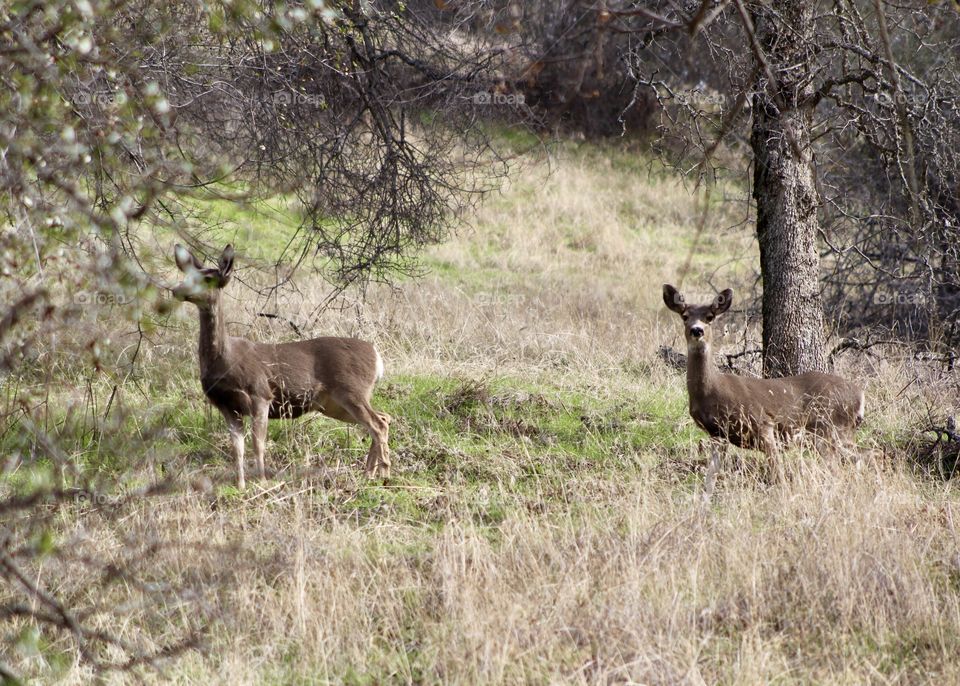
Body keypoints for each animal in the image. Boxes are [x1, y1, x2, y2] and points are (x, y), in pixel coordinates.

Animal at [172, 244, 391, 488]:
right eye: (188, 275)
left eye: (208, 278)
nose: (175, 289)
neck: (225, 358)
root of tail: (376, 356)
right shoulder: (227, 405)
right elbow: (237, 449)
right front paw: (241, 486)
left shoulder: (260, 394)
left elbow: (258, 443)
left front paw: (262, 481)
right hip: (333, 403)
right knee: (382, 418)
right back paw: (368, 474)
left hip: (351, 390)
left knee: (378, 424)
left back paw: (384, 473)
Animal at [662, 284, 864, 470]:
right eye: (685, 316)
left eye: (710, 317)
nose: (697, 330)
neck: (712, 389)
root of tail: (860, 395)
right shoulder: (718, 434)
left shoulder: (763, 423)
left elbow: (777, 470)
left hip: (830, 427)